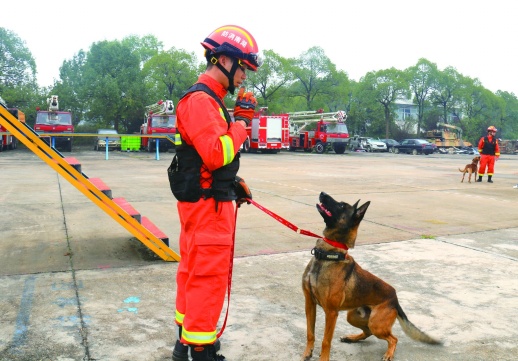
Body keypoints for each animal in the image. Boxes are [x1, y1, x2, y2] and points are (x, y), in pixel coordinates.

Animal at [302, 193, 440, 358]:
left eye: (341, 206)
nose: (322, 193)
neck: (328, 255)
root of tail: (395, 298)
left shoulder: (331, 313)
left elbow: (325, 341)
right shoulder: (309, 303)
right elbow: (310, 333)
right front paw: (307, 353)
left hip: (376, 323)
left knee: (393, 338)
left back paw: (388, 354)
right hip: (353, 316)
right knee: (368, 332)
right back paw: (351, 338)